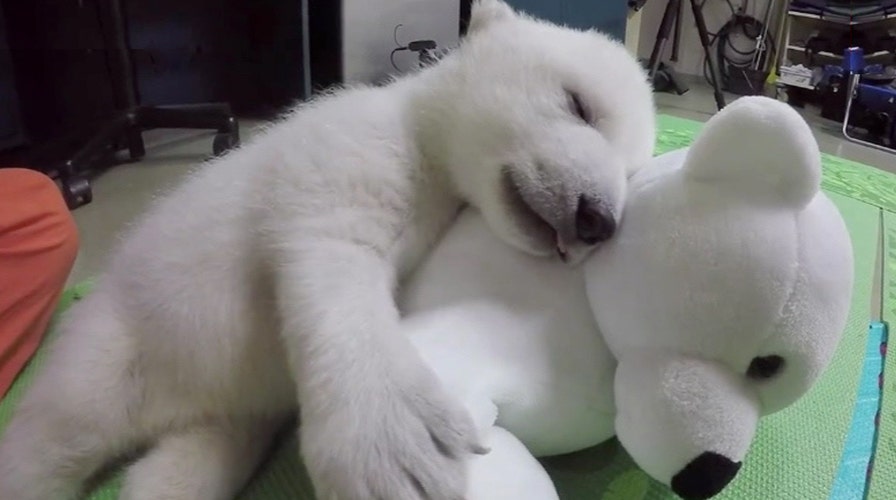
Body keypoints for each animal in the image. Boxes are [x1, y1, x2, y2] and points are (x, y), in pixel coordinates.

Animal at [0, 1, 656, 500]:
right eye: (578, 104)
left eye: (632, 169)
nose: (596, 219)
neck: (418, 129)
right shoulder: (346, 150)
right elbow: (330, 254)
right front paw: (397, 449)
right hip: (114, 346)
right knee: (56, 436)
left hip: (225, 421)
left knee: (187, 465)